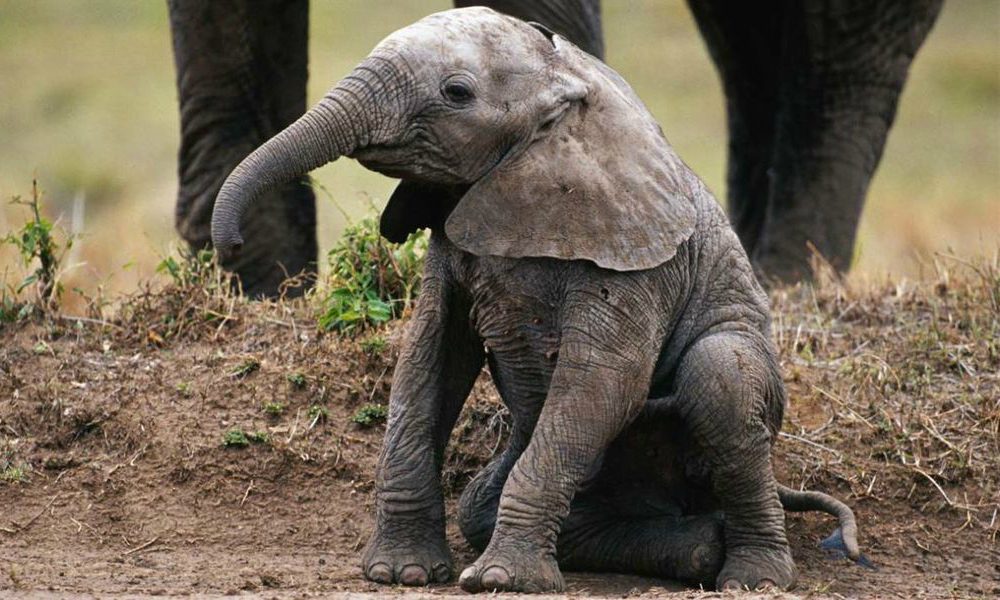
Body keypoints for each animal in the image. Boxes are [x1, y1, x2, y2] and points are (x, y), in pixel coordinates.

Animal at [215, 5, 864, 596]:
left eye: (456, 93)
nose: (230, 247)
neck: (566, 85)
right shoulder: (452, 241)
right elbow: (428, 363)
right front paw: (401, 574)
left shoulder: (637, 260)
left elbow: (603, 381)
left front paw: (501, 580)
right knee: (482, 505)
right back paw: (699, 549)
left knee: (719, 376)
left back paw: (752, 576)